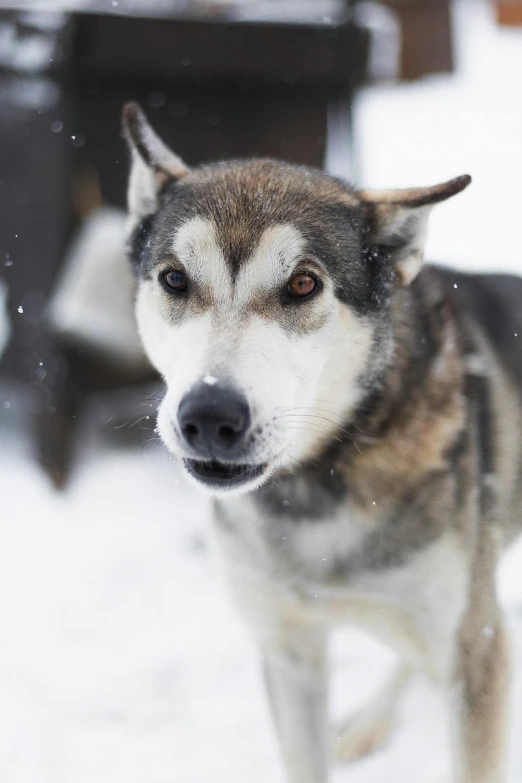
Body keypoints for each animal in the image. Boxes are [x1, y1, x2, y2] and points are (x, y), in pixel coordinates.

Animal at [121, 104, 516, 783]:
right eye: (174, 278)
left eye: (304, 285)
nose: (210, 415)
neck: (318, 482)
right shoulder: (288, 649)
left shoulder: (476, 651)